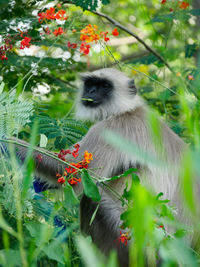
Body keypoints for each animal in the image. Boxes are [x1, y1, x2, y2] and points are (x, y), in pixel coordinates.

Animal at [0, 68, 196, 266]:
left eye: (105, 86)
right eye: (90, 84)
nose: (91, 92)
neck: (127, 109)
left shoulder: (114, 129)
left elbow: (74, 174)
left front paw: (5, 142)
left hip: (136, 246)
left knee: (92, 198)